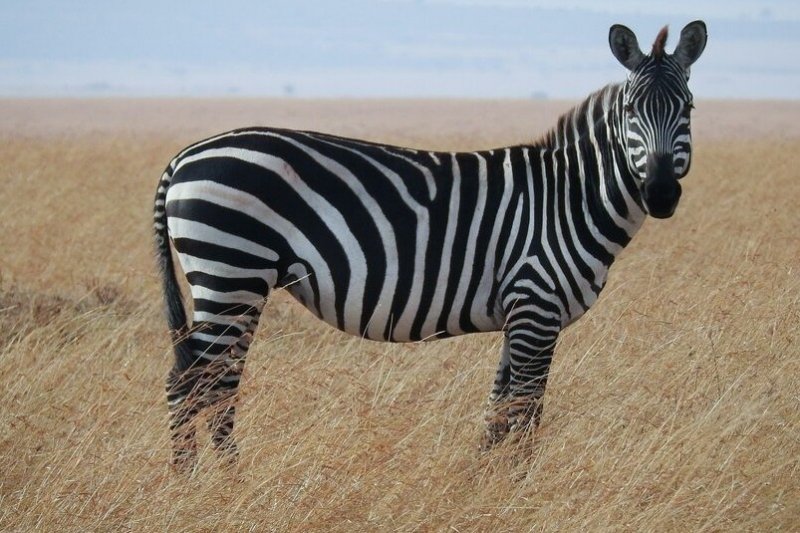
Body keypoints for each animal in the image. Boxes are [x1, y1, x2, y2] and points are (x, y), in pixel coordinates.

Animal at [154, 21, 707, 471]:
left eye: (688, 109)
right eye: (631, 111)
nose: (661, 194)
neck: (569, 198)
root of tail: (185, 155)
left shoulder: (519, 313)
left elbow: (497, 410)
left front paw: (481, 484)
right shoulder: (536, 305)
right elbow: (526, 410)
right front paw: (520, 487)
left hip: (233, 280)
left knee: (203, 382)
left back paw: (200, 481)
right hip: (233, 272)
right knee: (201, 384)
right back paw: (215, 485)